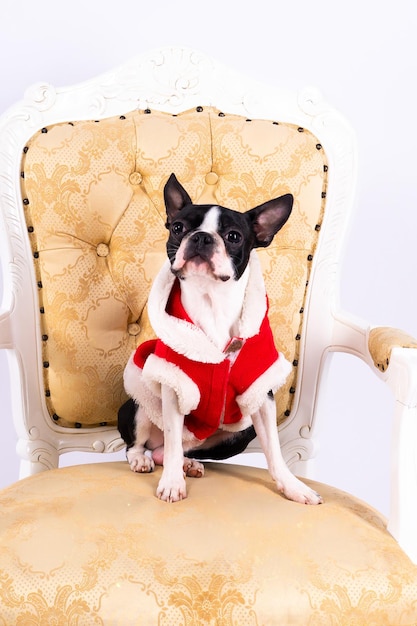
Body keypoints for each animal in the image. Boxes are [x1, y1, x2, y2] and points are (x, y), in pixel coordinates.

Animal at [117, 173, 322, 504]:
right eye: (178, 228)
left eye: (234, 236)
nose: (201, 237)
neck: (211, 301)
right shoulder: (174, 385)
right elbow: (171, 439)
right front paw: (171, 484)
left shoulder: (260, 391)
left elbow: (274, 452)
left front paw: (294, 487)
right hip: (138, 406)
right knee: (145, 445)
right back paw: (143, 460)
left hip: (240, 433)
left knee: (175, 449)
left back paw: (188, 463)